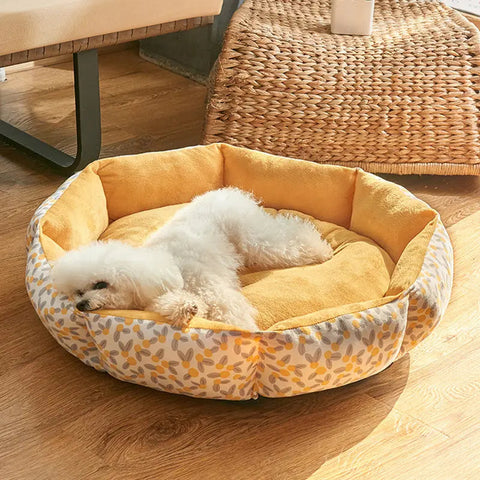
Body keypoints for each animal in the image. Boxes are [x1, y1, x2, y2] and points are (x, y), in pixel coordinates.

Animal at [50, 188, 332, 330]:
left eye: (101, 284)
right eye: (77, 292)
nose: (81, 305)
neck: (165, 268)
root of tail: (229, 191)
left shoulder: (212, 289)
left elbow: (230, 311)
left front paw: (247, 334)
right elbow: (172, 304)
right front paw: (186, 309)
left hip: (255, 239)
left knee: (289, 237)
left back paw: (320, 249)